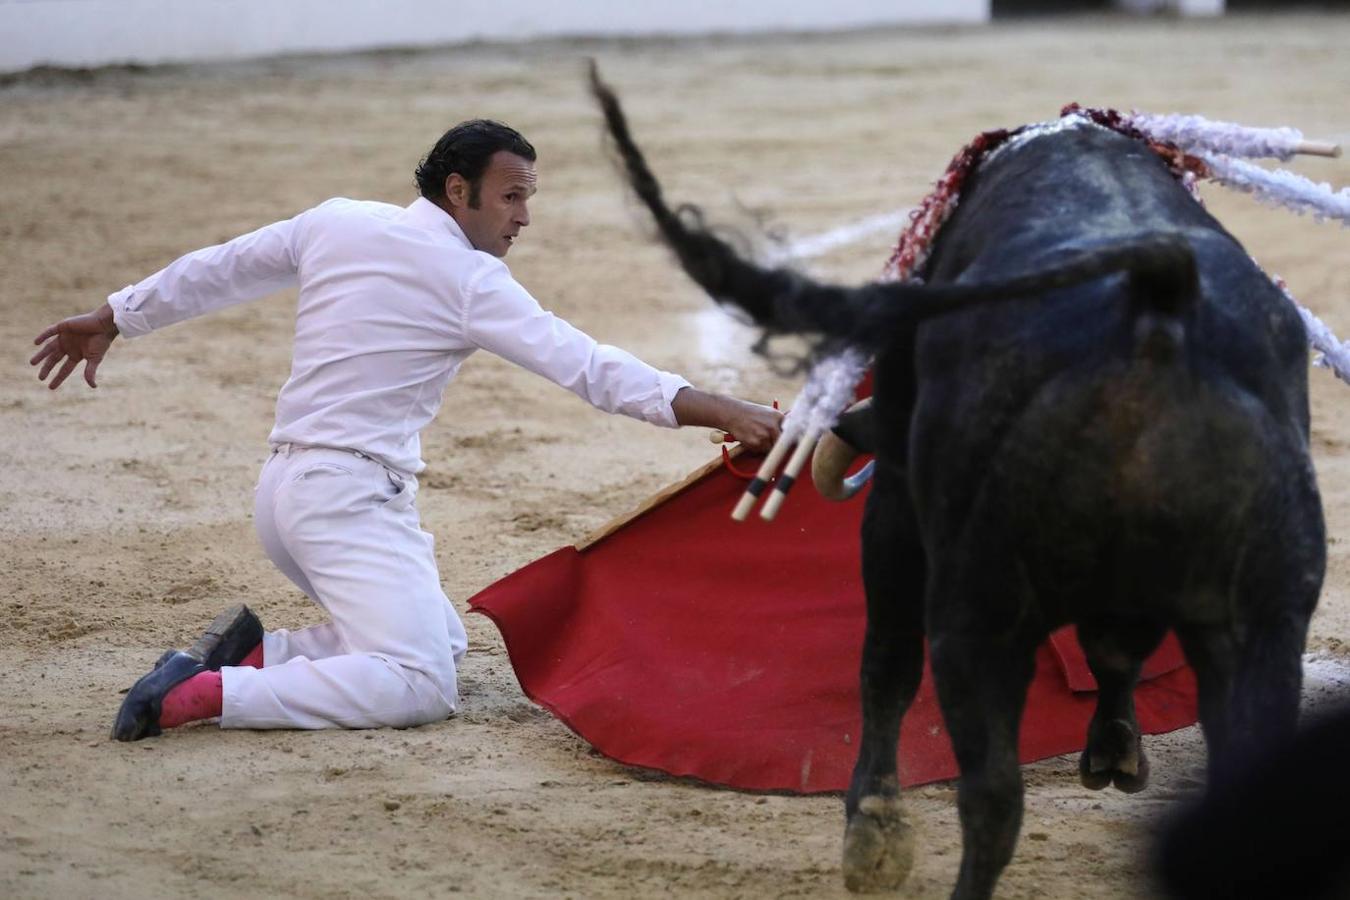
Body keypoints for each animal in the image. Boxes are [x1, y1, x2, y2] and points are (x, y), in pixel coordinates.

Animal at [594, 66, 1328, 900]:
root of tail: (1156, 298)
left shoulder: (897, 505)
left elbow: (886, 661)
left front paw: (874, 830)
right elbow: (1111, 657)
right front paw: (1113, 748)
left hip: (978, 604)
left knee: (990, 791)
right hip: (1269, 617)